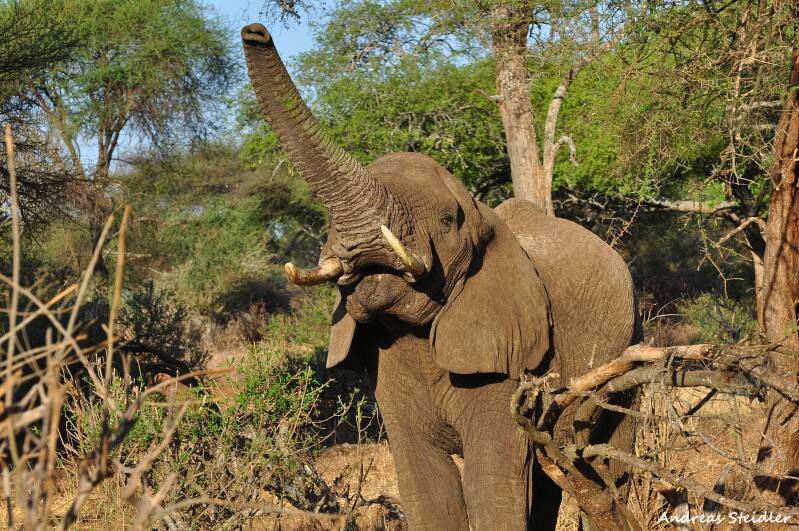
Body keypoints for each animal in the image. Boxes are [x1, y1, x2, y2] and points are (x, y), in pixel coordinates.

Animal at [242, 23, 641, 530]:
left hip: (628, 347)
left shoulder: (508, 356)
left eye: (448, 222)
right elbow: (427, 486)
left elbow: (491, 481)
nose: (255, 32)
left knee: (608, 465)